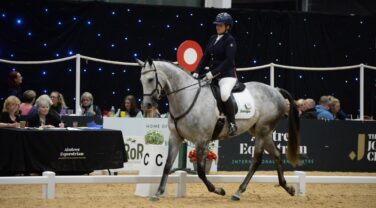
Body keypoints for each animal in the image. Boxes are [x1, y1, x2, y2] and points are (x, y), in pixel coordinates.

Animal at [138, 59, 300, 202]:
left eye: (151, 79)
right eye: (141, 80)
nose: (146, 105)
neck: (186, 97)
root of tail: (275, 90)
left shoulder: (202, 140)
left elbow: (201, 171)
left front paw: (218, 190)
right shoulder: (175, 138)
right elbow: (167, 165)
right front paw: (157, 193)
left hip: (262, 130)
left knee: (256, 160)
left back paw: (238, 192)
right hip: (261, 132)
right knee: (277, 154)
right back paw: (288, 188)